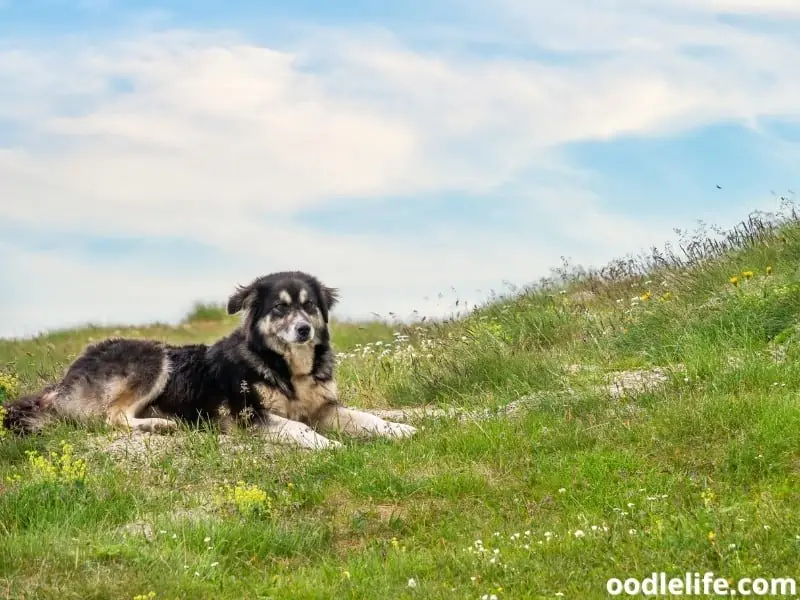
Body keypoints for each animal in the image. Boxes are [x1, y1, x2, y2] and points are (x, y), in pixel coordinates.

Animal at [3, 272, 418, 450]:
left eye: (309, 306)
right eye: (280, 308)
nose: (303, 330)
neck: (285, 367)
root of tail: (62, 382)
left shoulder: (325, 408)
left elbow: (367, 418)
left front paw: (398, 429)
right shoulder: (249, 414)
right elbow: (299, 428)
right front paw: (327, 445)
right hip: (153, 356)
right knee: (110, 418)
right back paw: (159, 424)